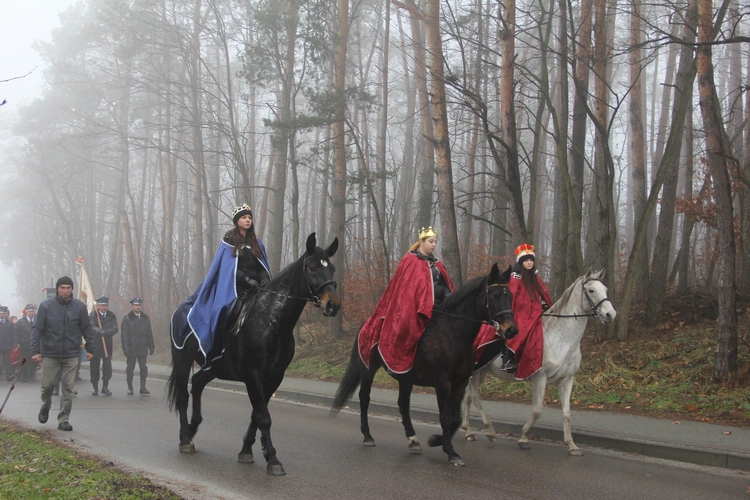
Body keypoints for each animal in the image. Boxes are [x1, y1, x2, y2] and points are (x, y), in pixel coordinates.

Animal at [169, 232, 342, 474]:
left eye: (332, 268)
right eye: (312, 268)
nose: (332, 305)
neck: (272, 320)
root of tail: (179, 309)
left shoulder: (274, 376)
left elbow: (257, 414)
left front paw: (246, 450)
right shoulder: (253, 374)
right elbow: (263, 417)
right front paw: (272, 459)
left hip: (214, 366)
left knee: (198, 383)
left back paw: (193, 428)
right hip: (182, 359)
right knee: (184, 395)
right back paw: (185, 439)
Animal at [332, 264, 520, 466]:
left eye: (510, 296)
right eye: (494, 295)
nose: (512, 330)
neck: (452, 334)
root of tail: (367, 322)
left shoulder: (460, 383)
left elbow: (455, 418)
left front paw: (438, 440)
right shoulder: (442, 382)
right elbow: (446, 418)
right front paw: (450, 451)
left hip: (405, 377)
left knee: (403, 404)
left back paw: (413, 440)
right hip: (368, 369)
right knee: (364, 399)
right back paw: (368, 436)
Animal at [464, 270, 616, 458]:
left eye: (605, 289)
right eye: (591, 290)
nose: (610, 314)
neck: (562, 338)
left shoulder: (567, 379)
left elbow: (566, 413)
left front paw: (572, 445)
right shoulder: (540, 377)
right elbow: (537, 410)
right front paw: (523, 439)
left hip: (481, 371)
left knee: (468, 396)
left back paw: (468, 431)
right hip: (476, 370)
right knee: (474, 397)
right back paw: (486, 432)